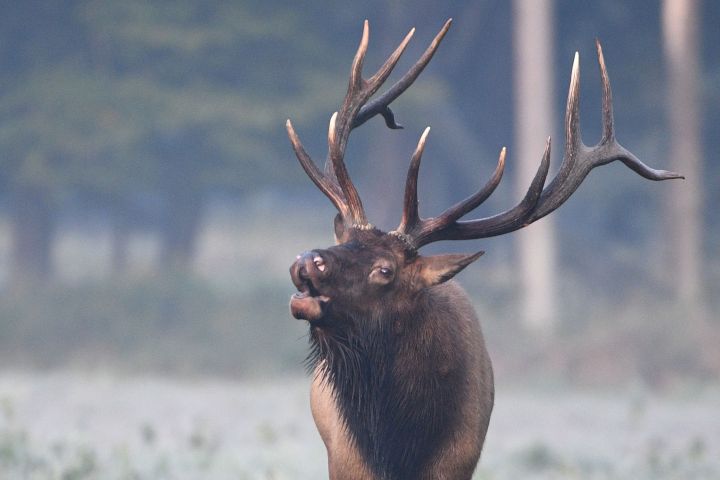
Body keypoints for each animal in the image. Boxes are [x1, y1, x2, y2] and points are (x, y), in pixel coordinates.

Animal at [286, 19, 681, 480]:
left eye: (385, 270)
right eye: (345, 241)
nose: (307, 261)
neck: (398, 442)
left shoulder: (458, 459)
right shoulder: (346, 459)